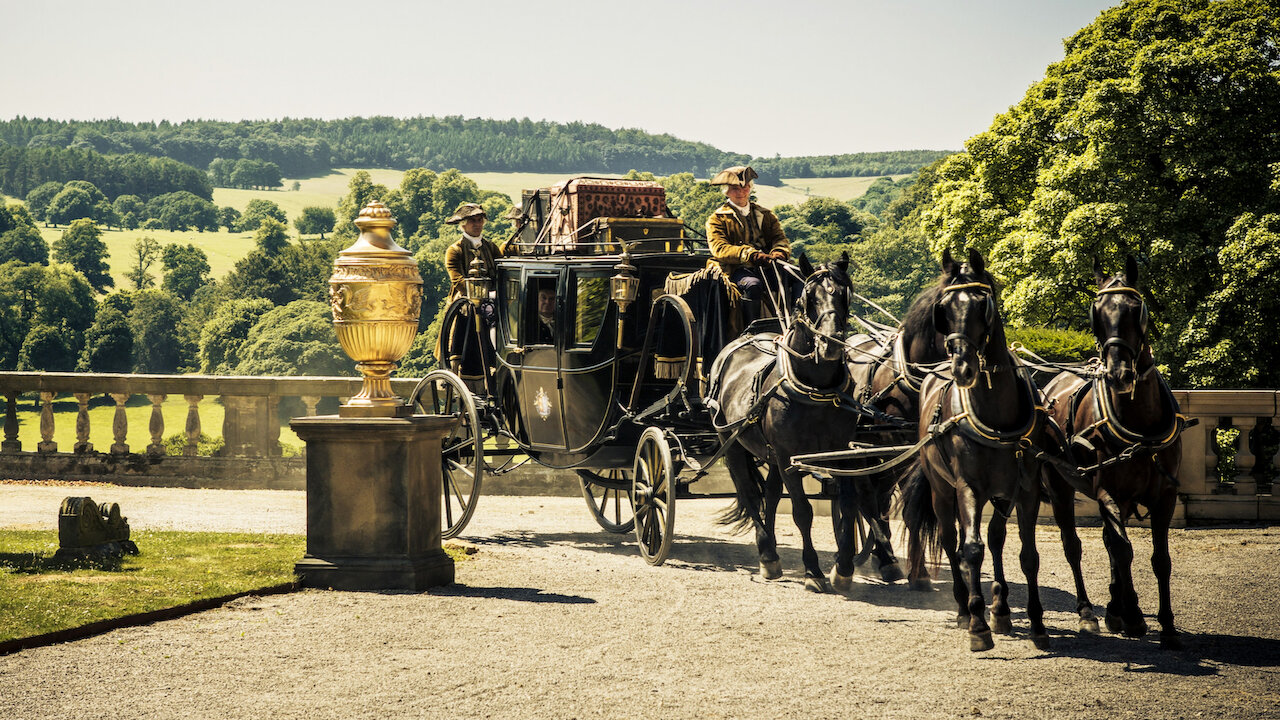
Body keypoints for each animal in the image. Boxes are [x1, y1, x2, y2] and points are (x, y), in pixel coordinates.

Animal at [711, 252, 860, 589]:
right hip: (732, 444)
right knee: (750, 494)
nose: (831, 345)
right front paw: (813, 570)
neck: (815, 389)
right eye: (809, 297)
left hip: (769, 453)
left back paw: (771, 552)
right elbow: (802, 511)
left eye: (844, 294)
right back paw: (767, 554)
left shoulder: (841, 454)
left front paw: (843, 567)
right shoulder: (788, 456)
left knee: (769, 494)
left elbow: (848, 505)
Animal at [901, 248, 1049, 650]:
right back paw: (964, 607)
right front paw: (978, 624)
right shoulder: (967, 487)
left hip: (998, 493)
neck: (996, 412)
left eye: (983, 304)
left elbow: (1026, 553)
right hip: (941, 489)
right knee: (951, 540)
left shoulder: (1024, 489)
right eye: (944, 308)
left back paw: (999, 607)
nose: (962, 368)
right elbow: (970, 549)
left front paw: (1033, 622)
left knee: (995, 538)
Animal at [1044, 254, 1182, 648]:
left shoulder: (1165, 495)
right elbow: (1124, 550)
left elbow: (1159, 558)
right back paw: (1089, 611)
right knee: (1073, 545)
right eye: (1097, 312)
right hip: (1059, 486)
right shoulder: (1107, 490)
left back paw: (1113, 605)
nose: (1119, 373)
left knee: (1109, 540)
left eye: (1137, 309)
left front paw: (1166, 625)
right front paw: (1133, 614)